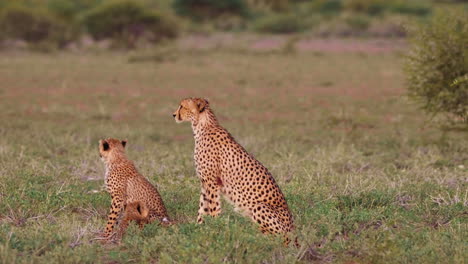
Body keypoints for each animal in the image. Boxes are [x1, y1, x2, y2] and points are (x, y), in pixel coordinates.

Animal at [172, 98, 296, 244]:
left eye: (182, 106)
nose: (173, 115)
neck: (202, 126)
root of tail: (295, 233)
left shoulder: (212, 182)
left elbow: (213, 208)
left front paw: (214, 229)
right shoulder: (205, 183)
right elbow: (202, 207)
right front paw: (199, 228)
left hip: (259, 206)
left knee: (275, 238)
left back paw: (252, 237)